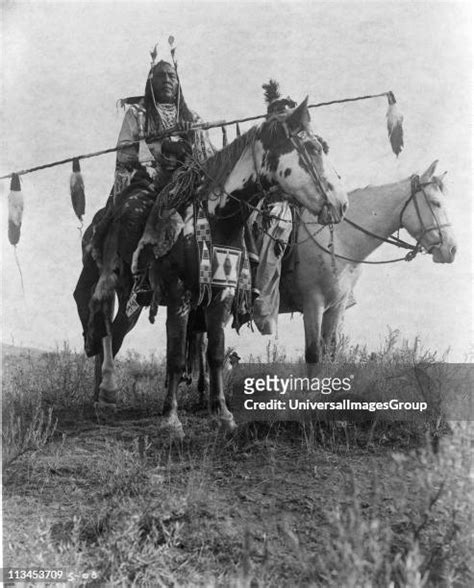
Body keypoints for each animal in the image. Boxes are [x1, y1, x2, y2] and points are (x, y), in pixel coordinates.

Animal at [78, 96, 348, 436]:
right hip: (113, 276)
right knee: (101, 317)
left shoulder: (221, 294)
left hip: (134, 298)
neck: (215, 218)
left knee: (113, 331)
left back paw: (101, 394)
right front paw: (170, 418)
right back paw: (108, 388)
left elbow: (216, 354)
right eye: (312, 148)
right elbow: (176, 356)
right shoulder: (179, 294)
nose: (341, 204)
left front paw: (222, 414)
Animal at [280, 158, 458, 366]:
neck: (338, 239)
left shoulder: (336, 307)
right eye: (435, 203)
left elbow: (330, 354)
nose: (452, 249)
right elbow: (313, 356)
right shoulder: (313, 303)